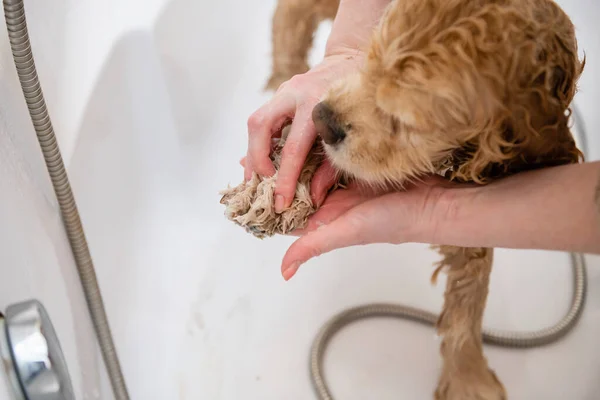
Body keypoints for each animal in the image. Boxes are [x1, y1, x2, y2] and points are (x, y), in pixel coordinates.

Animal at [264, 0, 584, 396]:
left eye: (406, 121)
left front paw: (466, 378)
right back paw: (286, 70)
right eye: (372, 57)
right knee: (291, 15)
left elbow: (469, 291)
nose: (321, 118)